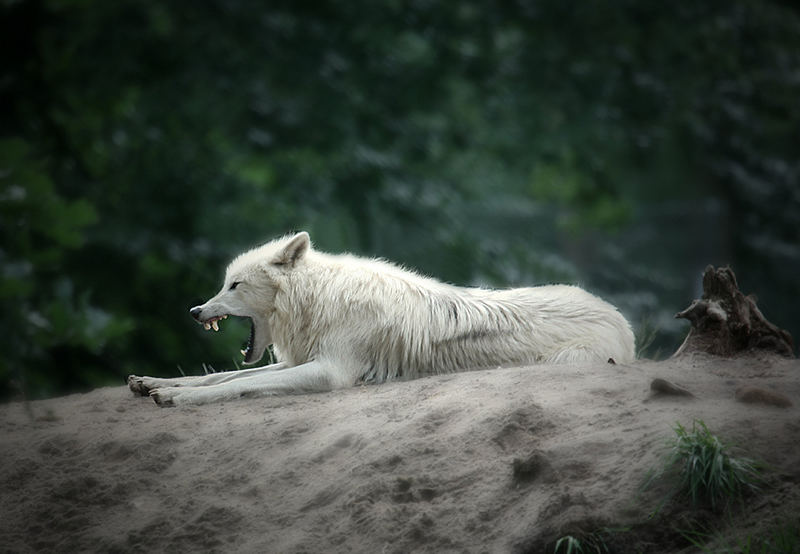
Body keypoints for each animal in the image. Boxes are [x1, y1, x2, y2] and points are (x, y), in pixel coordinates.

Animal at [128, 230, 636, 406]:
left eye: (233, 286)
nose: (196, 311)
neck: (321, 299)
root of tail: (619, 316)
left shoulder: (330, 371)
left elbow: (238, 384)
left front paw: (175, 399)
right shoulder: (300, 359)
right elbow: (218, 376)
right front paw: (153, 383)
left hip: (569, 362)